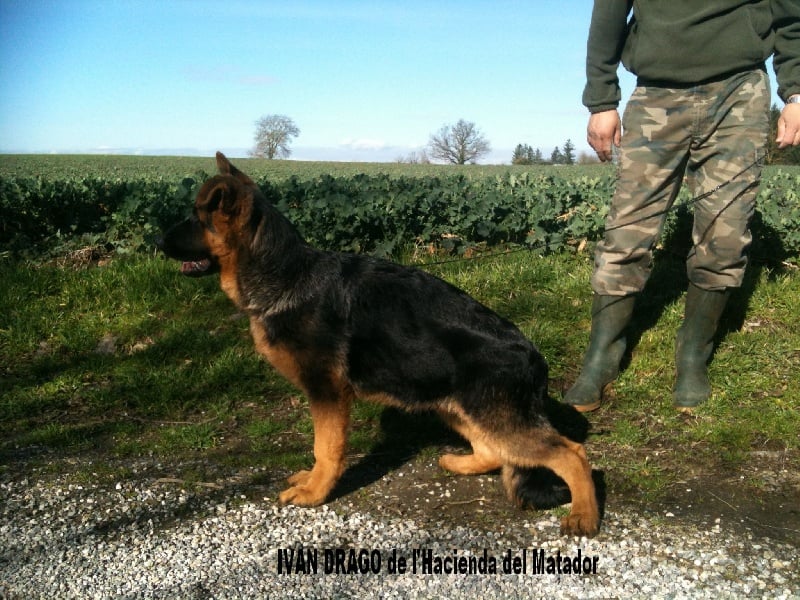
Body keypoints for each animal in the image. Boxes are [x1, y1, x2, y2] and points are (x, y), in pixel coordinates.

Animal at [159, 152, 600, 536]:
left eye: (195, 218)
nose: (158, 243)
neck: (287, 275)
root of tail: (534, 357)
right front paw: (312, 482)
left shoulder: (328, 394)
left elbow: (326, 448)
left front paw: (315, 491)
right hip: (457, 408)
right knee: (496, 453)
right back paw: (460, 463)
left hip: (494, 417)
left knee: (572, 453)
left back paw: (584, 514)